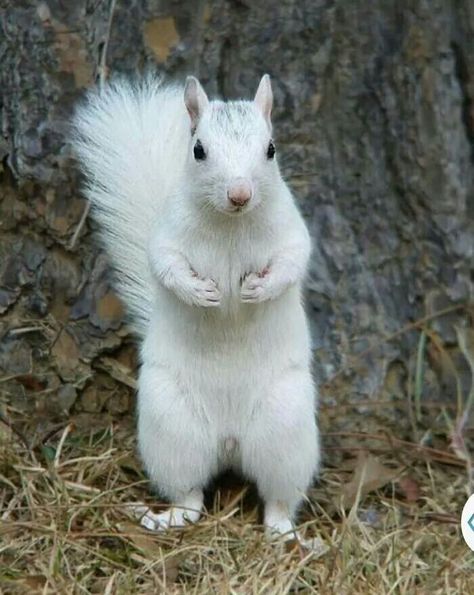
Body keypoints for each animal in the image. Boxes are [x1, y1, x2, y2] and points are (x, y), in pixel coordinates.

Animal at [73, 74, 318, 540]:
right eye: (199, 149)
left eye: (271, 148)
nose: (239, 194)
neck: (231, 224)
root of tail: (229, 441)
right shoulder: (167, 237)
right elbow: (166, 267)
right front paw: (200, 292)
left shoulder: (293, 233)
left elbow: (292, 262)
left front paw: (258, 289)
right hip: (173, 426)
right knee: (189, 496)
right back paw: (163, 517)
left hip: (285, 425)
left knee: (278, 499)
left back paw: (288, 534)